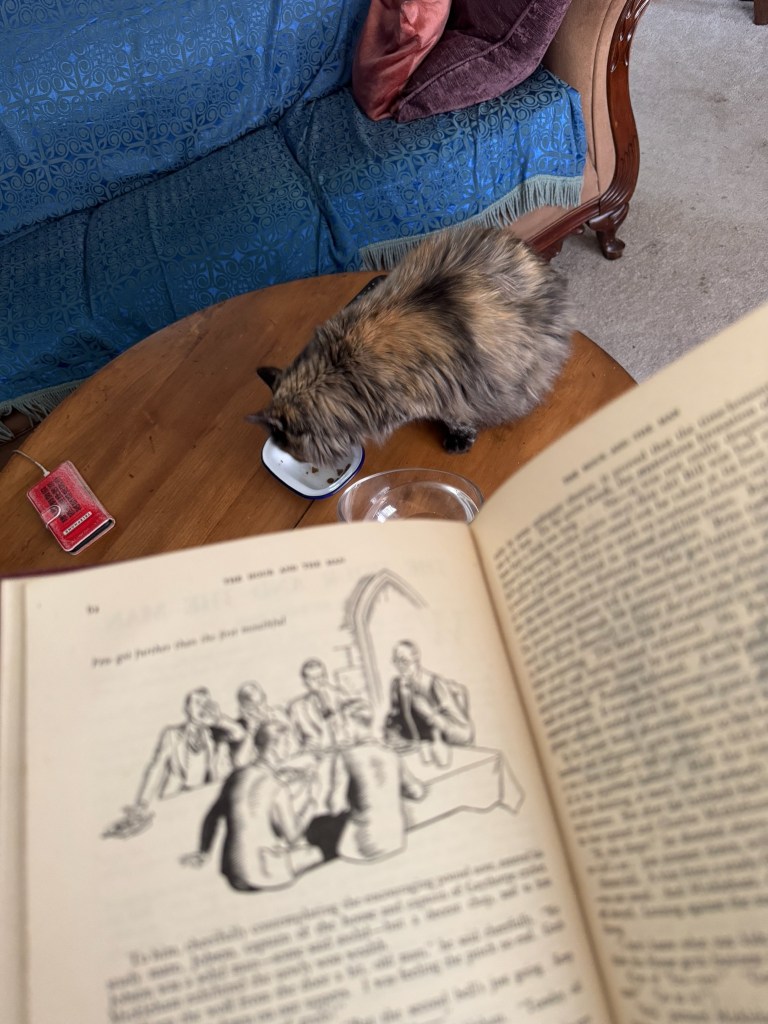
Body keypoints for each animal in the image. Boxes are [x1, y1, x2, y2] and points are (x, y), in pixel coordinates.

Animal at [248, 222, 573, 465]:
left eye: (290, 448)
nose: (298, 460)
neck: (341, 366)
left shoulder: (444, 392)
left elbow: (456, 417)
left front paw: (458, 440)